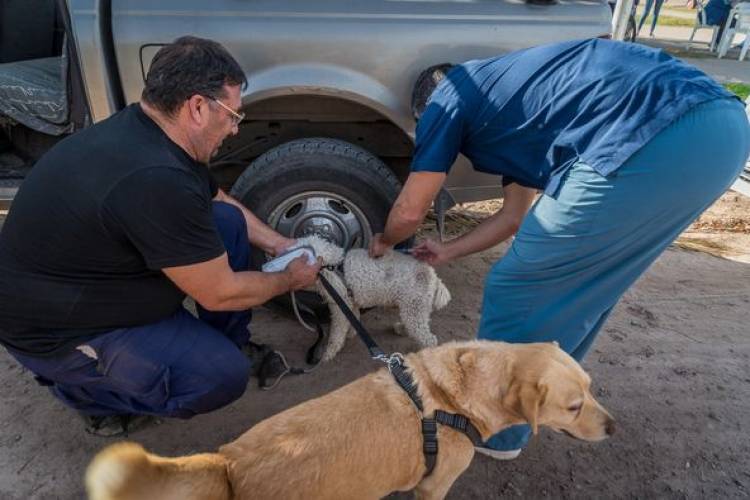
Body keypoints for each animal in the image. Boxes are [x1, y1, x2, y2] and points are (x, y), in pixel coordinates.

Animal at [88, 340, 616, 500]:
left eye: (592, 388)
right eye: (574, 406)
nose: (614, 428)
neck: (457, 396)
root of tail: (230, 462)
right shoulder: (435, 487)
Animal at [296, 236, 452, 362]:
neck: (333, 265)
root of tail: (433, 277)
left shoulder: (341, 305)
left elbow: (337, 334)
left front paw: (328, 353)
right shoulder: (351, 302)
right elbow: (354, 317)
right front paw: (352, 333)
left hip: (414, 306)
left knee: (429, 339)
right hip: (413, 307)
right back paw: (401, 328)